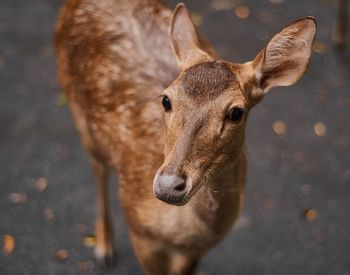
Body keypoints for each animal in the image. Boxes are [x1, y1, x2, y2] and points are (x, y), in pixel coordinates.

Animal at [54, 1, 318, 274]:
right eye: (166, 99)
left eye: (236, 112)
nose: (169, 185)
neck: (182, 234)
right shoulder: (141, 235)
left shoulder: (196, 251)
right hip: (80, 114)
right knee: (98, 168)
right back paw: (104, 247)